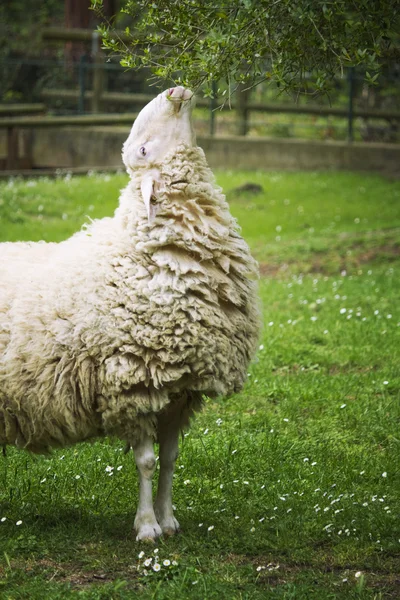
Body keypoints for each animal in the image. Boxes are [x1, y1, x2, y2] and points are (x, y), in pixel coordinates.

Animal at [0, 86, 260, 540]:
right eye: (143, 149)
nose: (175, 91)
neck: (145, 253)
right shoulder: (133, 382)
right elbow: (146, 461)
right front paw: (147, 527)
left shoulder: (181, 391)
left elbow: (171, 458)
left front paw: (169, 519)